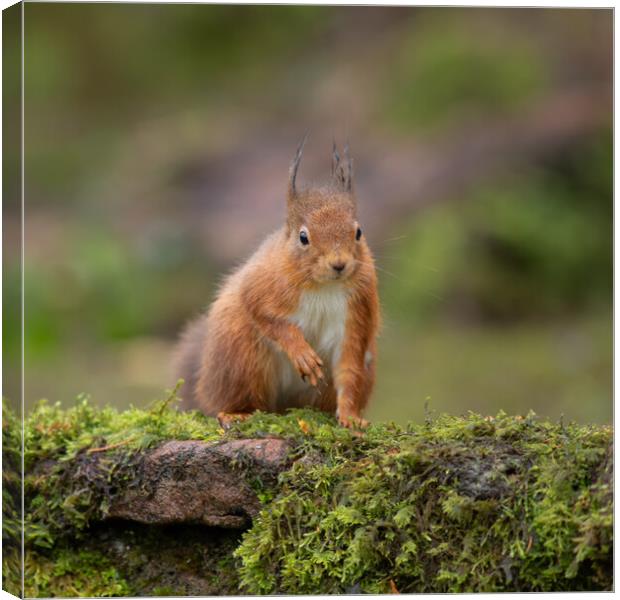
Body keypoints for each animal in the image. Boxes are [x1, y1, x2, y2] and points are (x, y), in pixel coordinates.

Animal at [172, 139, 380, 432]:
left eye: (358, 232)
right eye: (303, 237)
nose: (339, 264)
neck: (322, 287)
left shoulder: (358, 310)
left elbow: (350, 368)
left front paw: (351, 417)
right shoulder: (264, 282)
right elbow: (264, 313)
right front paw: (301, 352)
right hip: (241, 359)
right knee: (237, 400)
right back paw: (235, 413)